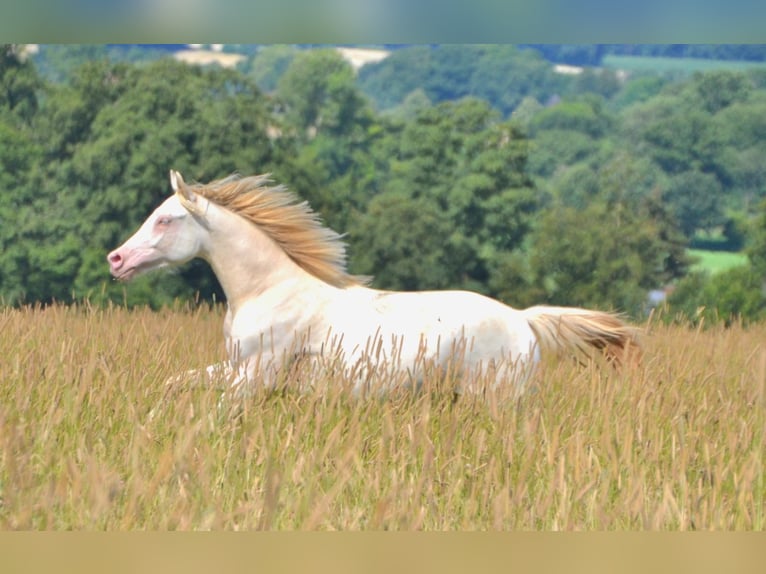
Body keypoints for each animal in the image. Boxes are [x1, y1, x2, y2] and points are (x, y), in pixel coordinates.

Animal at [108, 169, 640, 398]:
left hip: (494, 398)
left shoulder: (256, 374)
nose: (116, 260)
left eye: (165, 219)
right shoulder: (235, 368)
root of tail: (523, 320)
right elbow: (176, 384)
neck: (269, 292)